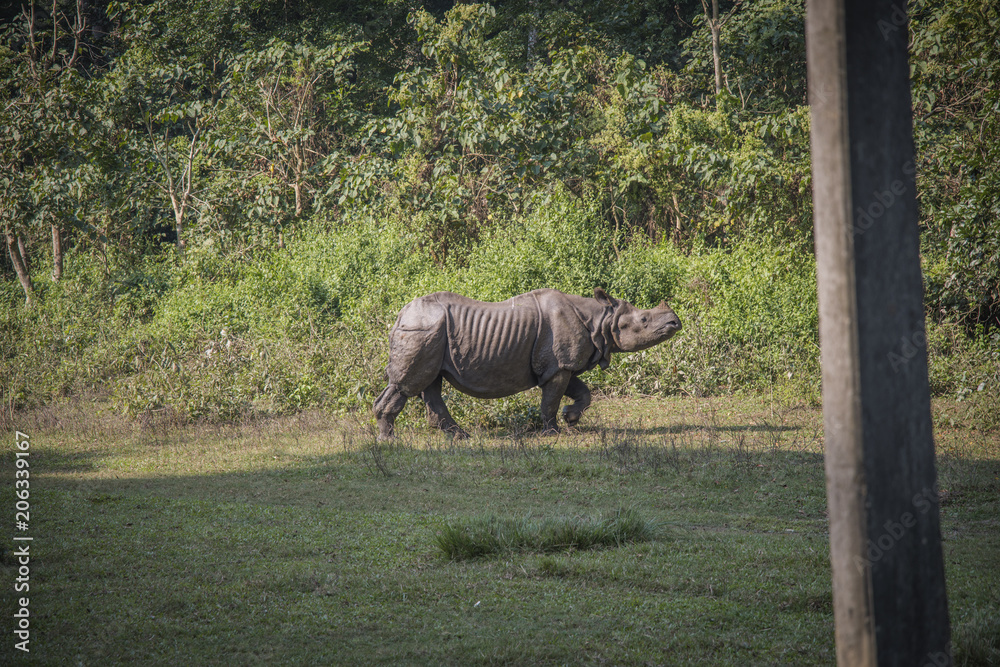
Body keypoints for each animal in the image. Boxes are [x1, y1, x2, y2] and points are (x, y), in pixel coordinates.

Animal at [374, 288, 681, 439]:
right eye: (643, 320)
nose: (675, 322)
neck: (600, 319)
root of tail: (399, 316)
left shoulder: (562, 364)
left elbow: (583, 392)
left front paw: (571, 418)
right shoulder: (559, 365)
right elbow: (551, 400)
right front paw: (554, 432)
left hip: (432, 333)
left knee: (431, 383)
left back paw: (460, 436)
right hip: (423, 329)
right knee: (407, 384)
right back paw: (389, 440)